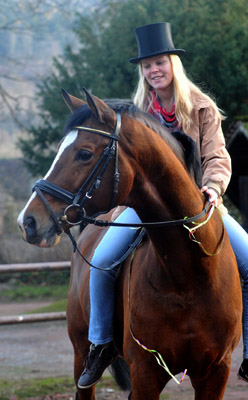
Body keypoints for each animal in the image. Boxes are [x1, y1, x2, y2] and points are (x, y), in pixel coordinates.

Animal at [17, 88, 242, 400]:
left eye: (84, 153)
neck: (189, 274)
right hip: (80, 354)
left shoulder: (216, 372)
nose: (27, 222)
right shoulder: (145, 371)